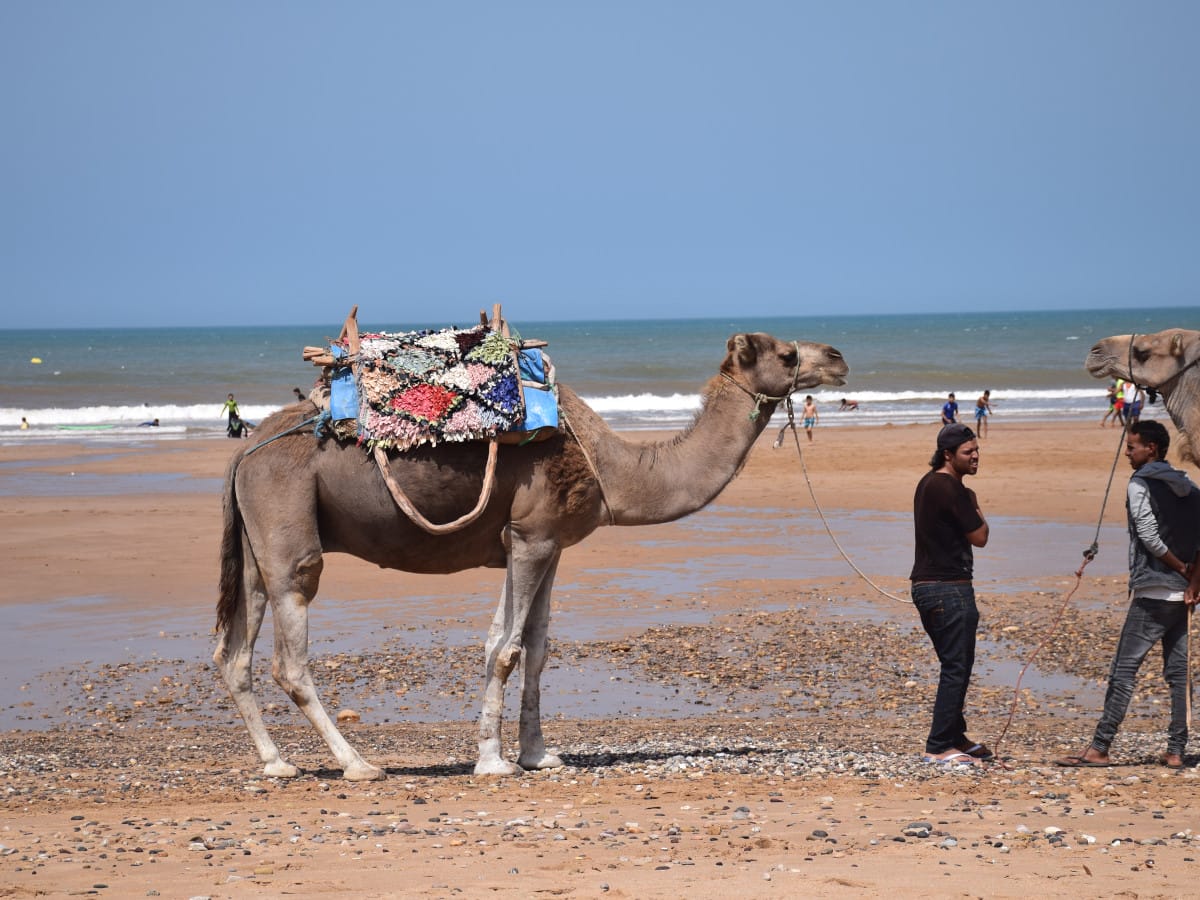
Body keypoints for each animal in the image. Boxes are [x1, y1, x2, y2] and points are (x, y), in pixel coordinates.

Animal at [215, 331, 848, 780]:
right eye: (786, 352)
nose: (839, 357)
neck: (610, 469)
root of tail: (245, 451)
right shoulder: (532, 537)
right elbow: (506, 650)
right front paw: (493, 762)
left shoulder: (540, 542)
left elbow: (533, 648)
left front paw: (539, 755)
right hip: (286, 521)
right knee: (290, 651)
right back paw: (359, 765)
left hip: (255, 540)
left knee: (234, 653)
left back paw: (277, 762)